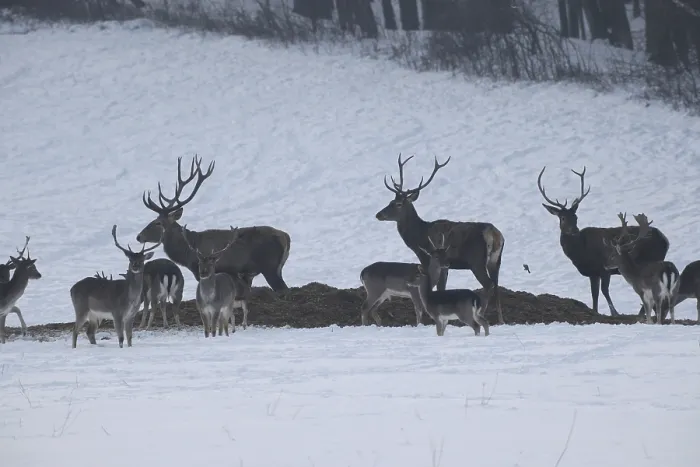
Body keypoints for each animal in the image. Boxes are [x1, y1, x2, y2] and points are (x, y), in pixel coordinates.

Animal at [375, 154, 506, 325]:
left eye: (397, 204)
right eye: (390, 201)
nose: (378, 214)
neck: (418, 236)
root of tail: (494, 235)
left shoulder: (429, 257)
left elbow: (435, 285)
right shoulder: (445, 265)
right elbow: (442, 286)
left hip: (477, 261)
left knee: (489, 285)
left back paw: (481, 315)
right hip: (495, 261)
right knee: (497, 286)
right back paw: (501, 320)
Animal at [537, 166, 670, 317]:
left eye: (576, 216)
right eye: (563, 218)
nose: (575, 230)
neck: (581, 252)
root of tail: (665, 240)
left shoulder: (604, 268)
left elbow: (604, 291)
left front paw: (614, 312)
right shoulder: (593, 273)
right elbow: (594, 294)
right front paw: (595, 311)